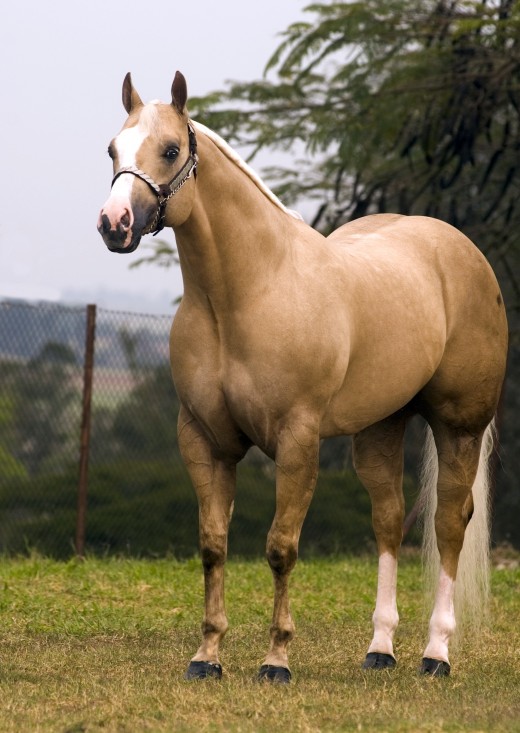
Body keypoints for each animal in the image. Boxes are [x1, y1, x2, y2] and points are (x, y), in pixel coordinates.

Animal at [98, 71, 508, 682]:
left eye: (170, 150)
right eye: (113, 150)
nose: (114, 224)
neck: (248, 291)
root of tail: (463, 252)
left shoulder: (297, 441)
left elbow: (280, 548)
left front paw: (276, 661)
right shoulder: (204, 440)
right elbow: (213, 545)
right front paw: (207, 657)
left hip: (459, 426)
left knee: (449, 524)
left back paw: (435, 655)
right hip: (380, 428)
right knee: (389, 520)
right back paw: (380, 650)